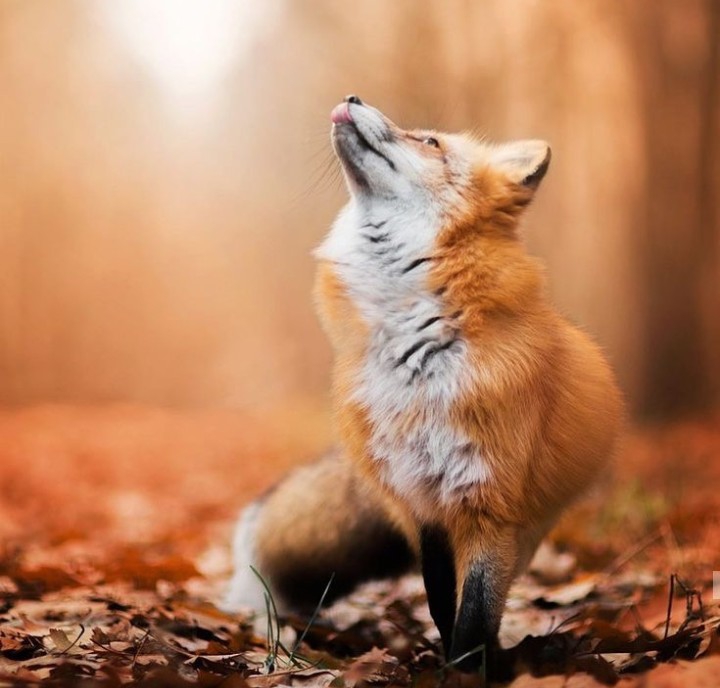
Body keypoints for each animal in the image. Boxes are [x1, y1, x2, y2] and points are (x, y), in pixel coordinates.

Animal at [224, 96, 624, 673]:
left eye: (430, 142)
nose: (352, 98)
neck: (415, 359)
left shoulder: (488, 503)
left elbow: (474, 615)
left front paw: (467, 673)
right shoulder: (420, 502)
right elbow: (441, 602)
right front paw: (449, 663)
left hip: (527, 527)